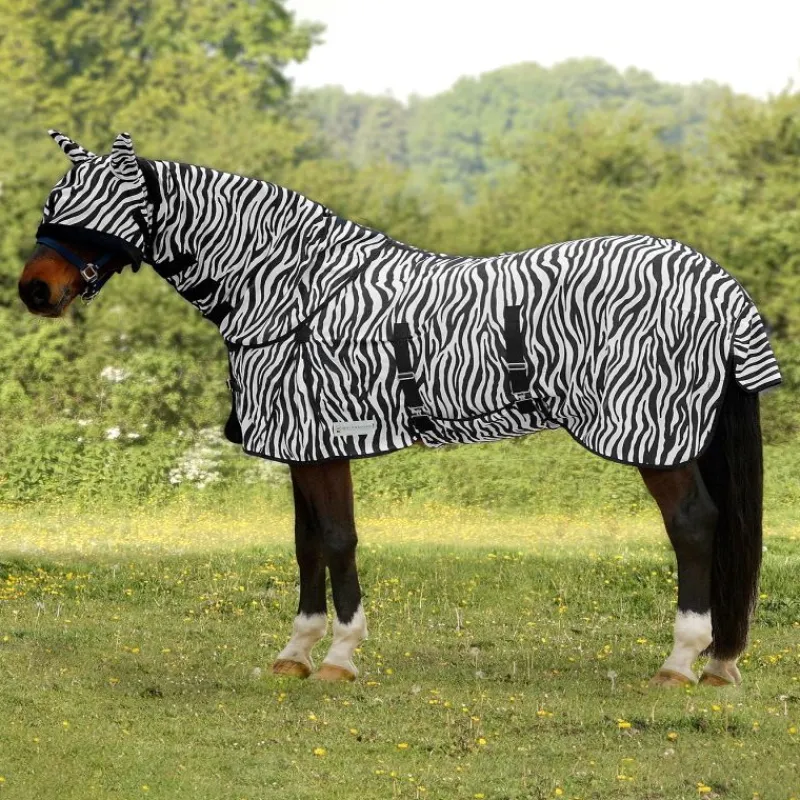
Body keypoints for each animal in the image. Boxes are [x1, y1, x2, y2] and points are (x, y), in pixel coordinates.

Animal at [18, 130, 781, 685]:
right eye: (57, 199)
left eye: (98, 211)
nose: (34, 290)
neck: (294, 292)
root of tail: (716, 282)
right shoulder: (302, 445)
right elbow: (306, 543)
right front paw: (295, 653)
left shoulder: (324, 439)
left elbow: (336, 539)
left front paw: (339, 657)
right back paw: (718, 661)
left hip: (656, 436)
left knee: (694, 526)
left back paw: (681, 661)